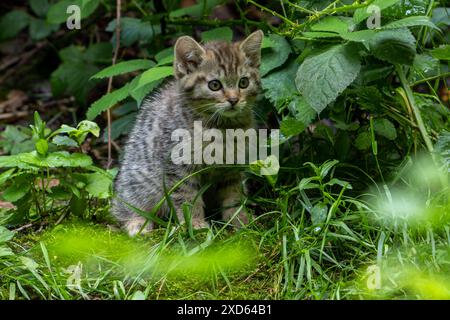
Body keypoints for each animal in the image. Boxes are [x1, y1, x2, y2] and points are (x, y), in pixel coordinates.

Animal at [112, 30, 264, 235]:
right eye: (215, 85)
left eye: (244, 82)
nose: (234, 100)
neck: (222, 128)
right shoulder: (178, 167)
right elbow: (187, 197)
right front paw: (196, 224)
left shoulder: (233, 168)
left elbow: (234, 196)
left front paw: (240, 222)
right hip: (141, 182)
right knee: (125, 206)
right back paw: (138, 224)